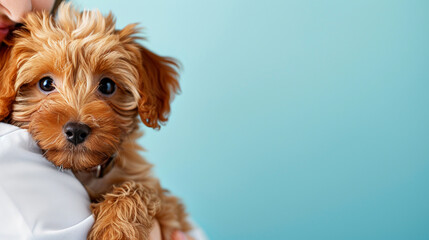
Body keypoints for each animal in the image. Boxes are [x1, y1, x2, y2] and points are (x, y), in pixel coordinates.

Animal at [0, 2, 191, 239]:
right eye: (45, 83)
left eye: (107, 86)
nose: (76, 130)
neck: (86, 171)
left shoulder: (168, 207)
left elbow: (139, 189)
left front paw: (115, 230)